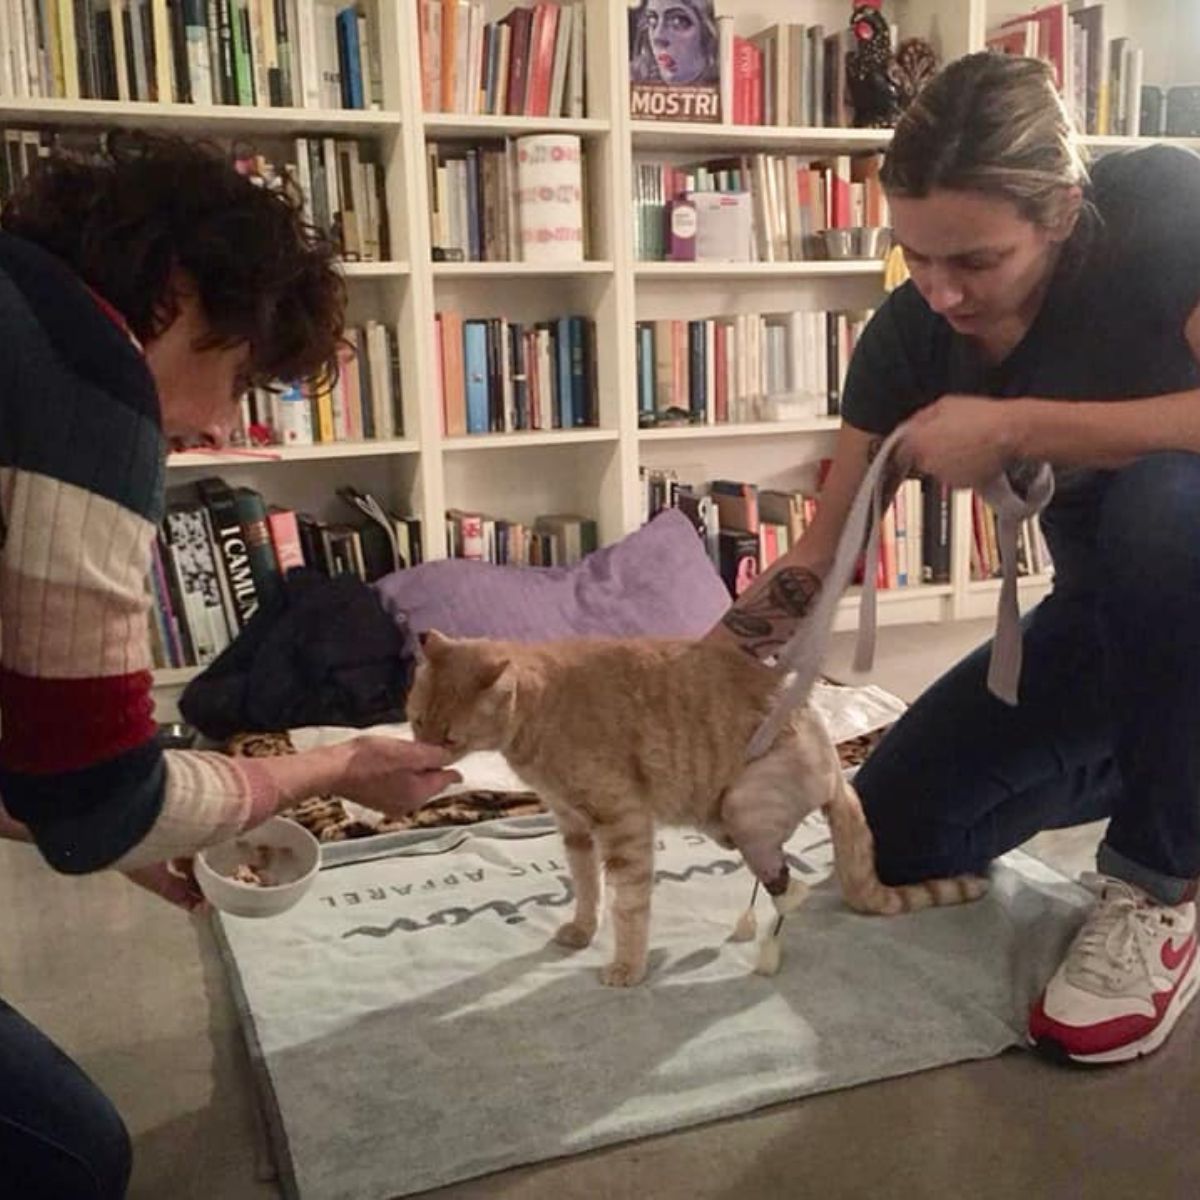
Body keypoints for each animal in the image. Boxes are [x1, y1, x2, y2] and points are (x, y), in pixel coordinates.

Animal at [405, 628, 984, 984]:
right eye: (416, 722)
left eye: (449, 736)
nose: (424, 753)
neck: (540, 714)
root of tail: (836, 772)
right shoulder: (573, 827)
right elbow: (588, 889)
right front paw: (582, 930)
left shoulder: (623, 824)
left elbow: (628, 905)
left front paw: (627, 967)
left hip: (743, 810)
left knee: (787, 884)